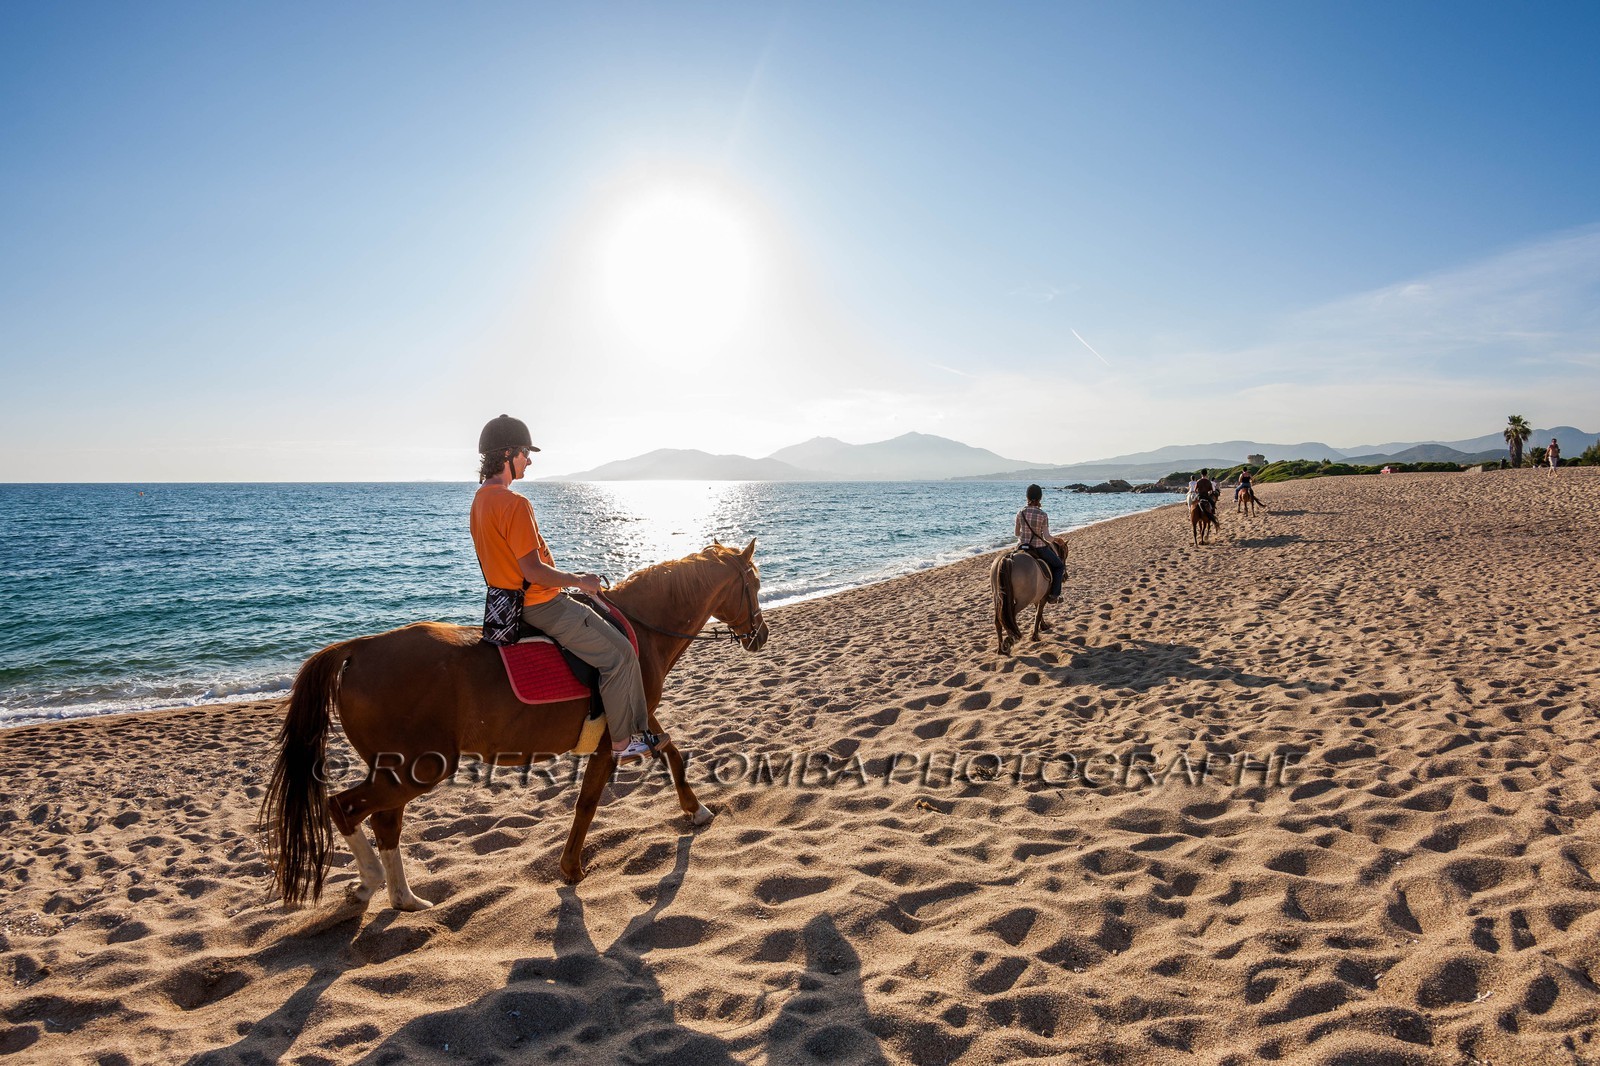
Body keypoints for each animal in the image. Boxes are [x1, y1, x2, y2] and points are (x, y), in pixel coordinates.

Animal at [262, 540, 768, 910]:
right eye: (756, 584)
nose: (760, 635)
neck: (638, 631)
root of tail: (359, 647)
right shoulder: (612, 739)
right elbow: (588, 802)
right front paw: (571, 868)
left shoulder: (637, 715)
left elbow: (673, 753)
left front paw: (697, 810)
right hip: (417, 768)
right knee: (345, 807)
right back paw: (371, 885)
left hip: (396, 769)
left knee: (384, 822)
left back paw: (402, 897)